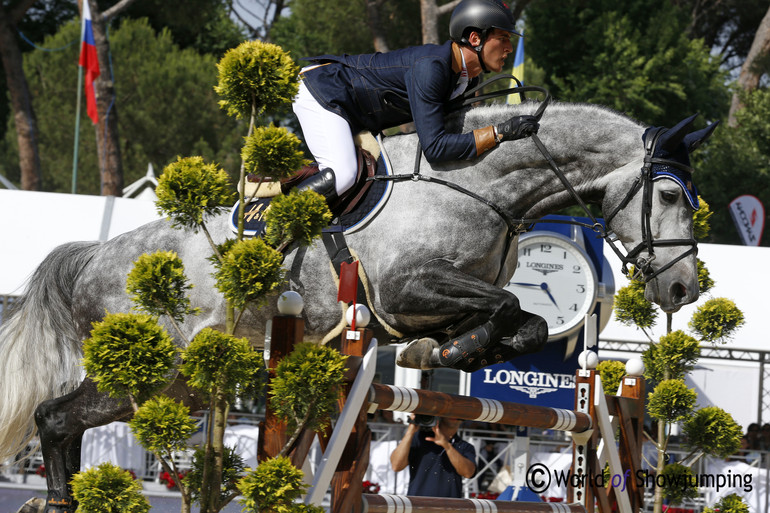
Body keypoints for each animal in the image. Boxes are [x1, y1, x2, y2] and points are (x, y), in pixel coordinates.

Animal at [0, 99, 712, 508]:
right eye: (669, 196)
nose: (683, 288)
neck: (481, 185)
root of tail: (91, 258)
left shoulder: (421, 302)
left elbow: (525, 322)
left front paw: (447, 349)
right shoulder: (403, 287)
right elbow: (510, 306)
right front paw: (455, 347)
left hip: (176, 385)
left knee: (66, 425)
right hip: (151, 373)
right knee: (54, 420)